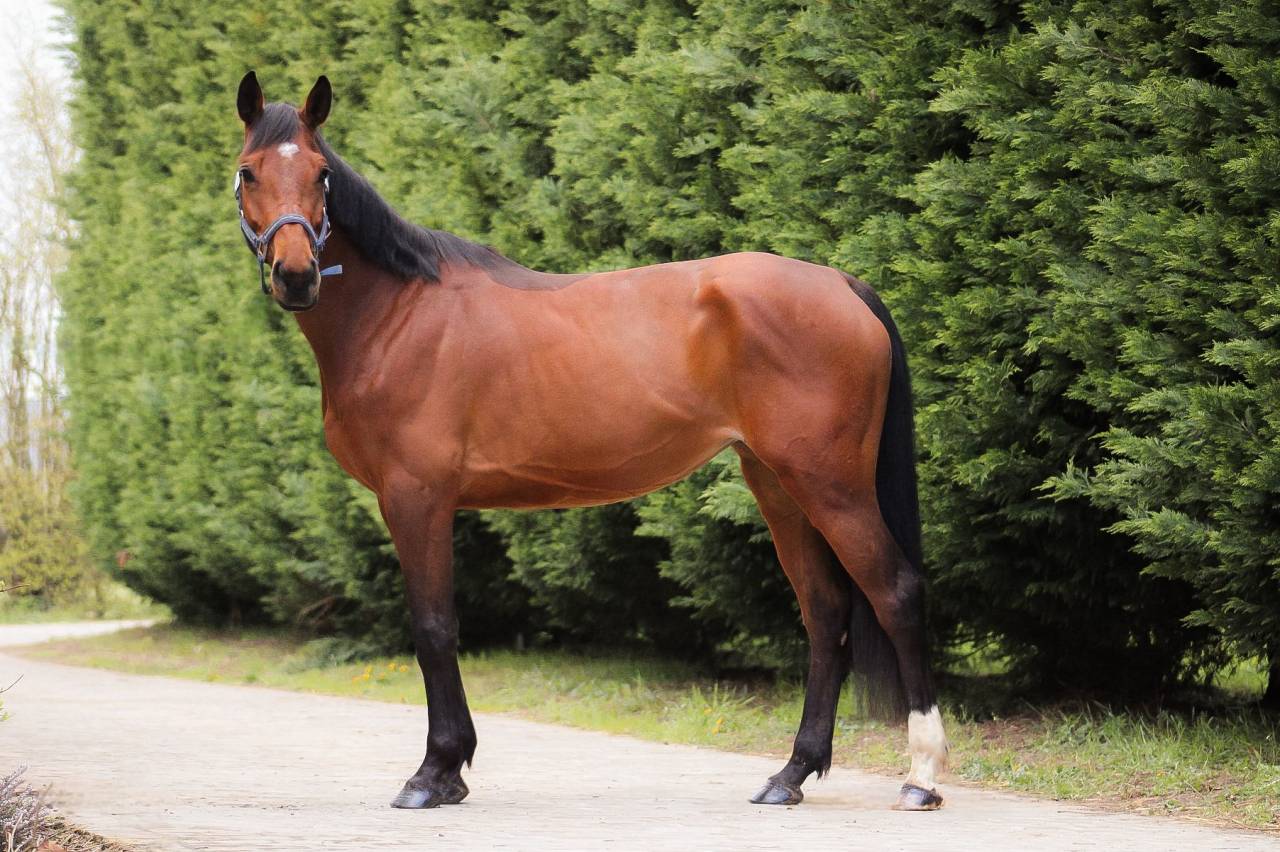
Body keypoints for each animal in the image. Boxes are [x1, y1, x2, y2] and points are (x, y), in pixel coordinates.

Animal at [233, 72, 948, 812]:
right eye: (248, 173)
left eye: (321, 176)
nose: (296, 275)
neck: (398, 314)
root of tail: (842, 283)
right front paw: (451, 770)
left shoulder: (415, 498)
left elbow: (433, 629)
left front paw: (433, 773)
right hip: (778, 484)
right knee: (825, 613)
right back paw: (792, 773)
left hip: (831, 485)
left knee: (895, 593)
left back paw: (920, 777)